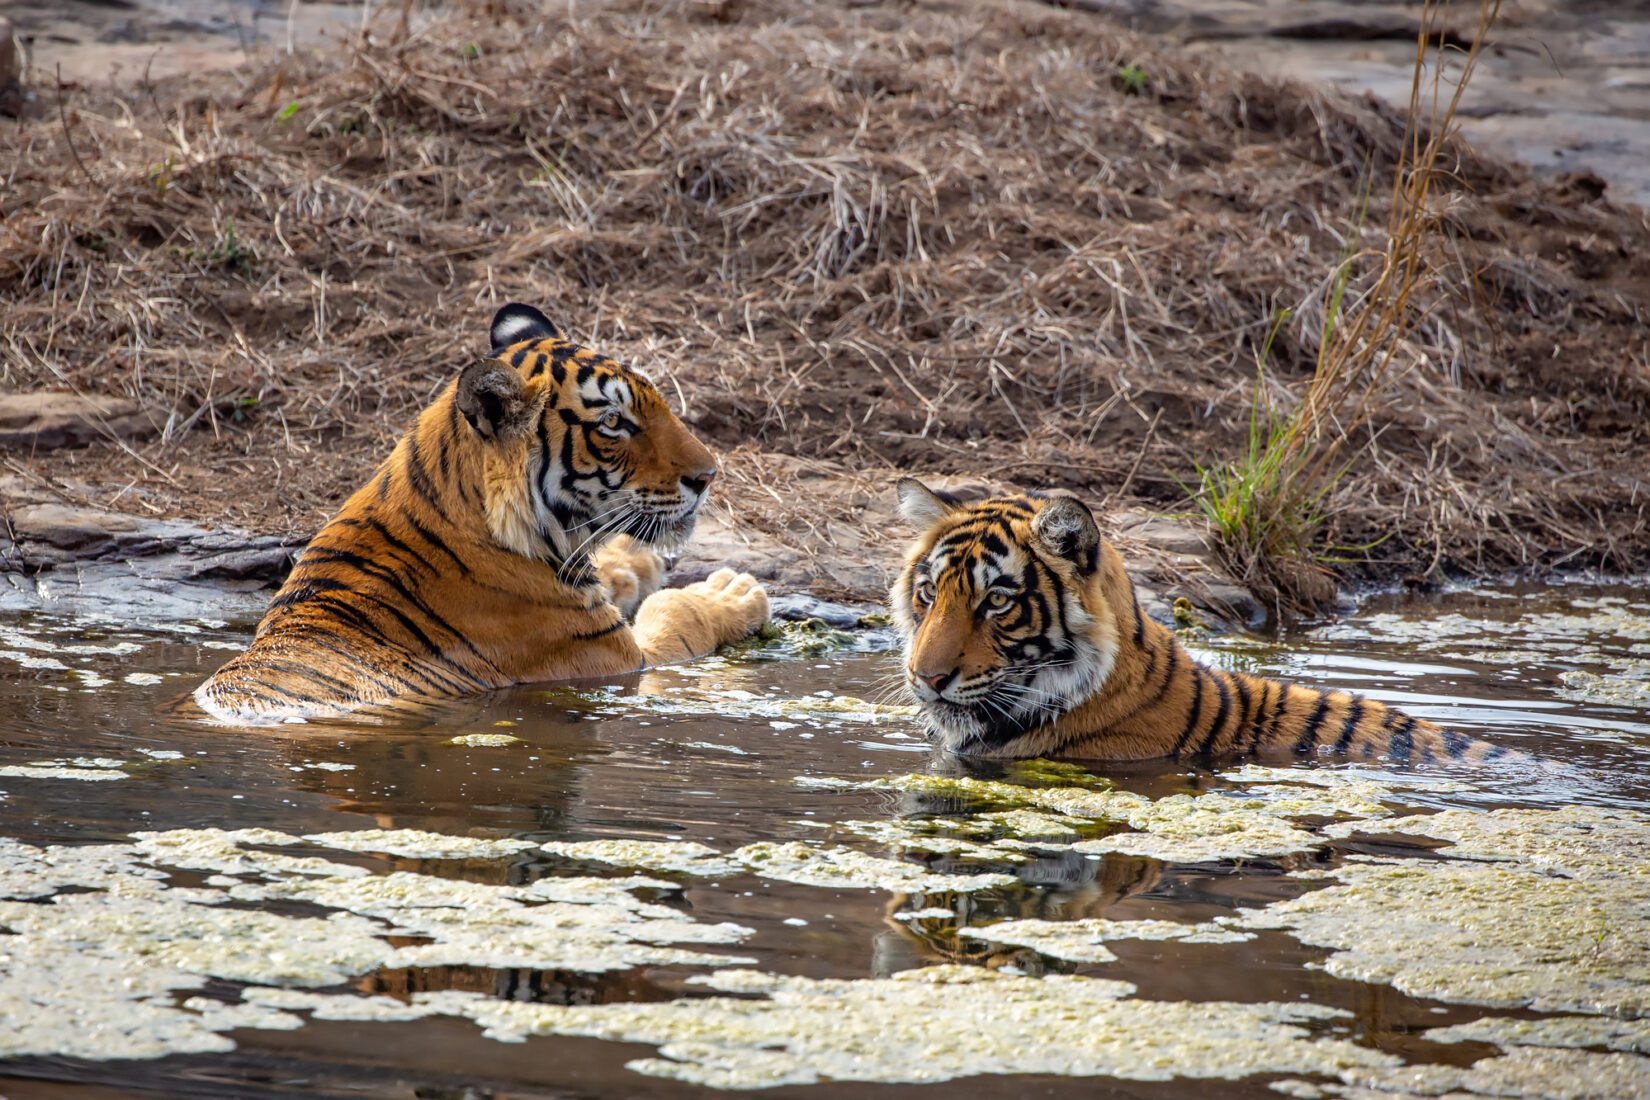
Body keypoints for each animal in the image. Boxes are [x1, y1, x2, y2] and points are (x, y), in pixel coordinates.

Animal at [189, 305, 768, 725]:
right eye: (613, 422)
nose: (709, 476)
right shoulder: (617, 657)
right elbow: (678, 616)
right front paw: (732, 592)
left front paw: (639, 560)